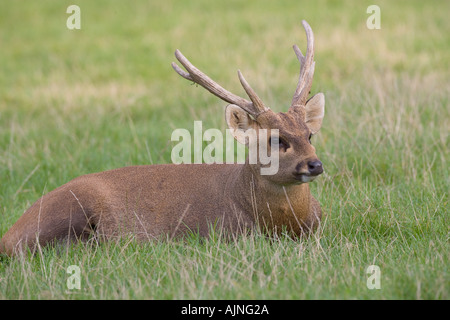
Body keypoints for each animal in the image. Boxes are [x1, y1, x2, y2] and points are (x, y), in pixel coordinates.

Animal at [0, 20, 326, 256]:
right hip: (70, 208)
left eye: (309, 134)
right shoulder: (225, 232)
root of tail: (6, 236)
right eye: (275, 139)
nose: (315, 164)